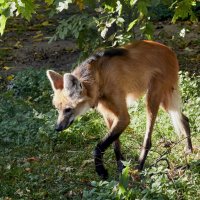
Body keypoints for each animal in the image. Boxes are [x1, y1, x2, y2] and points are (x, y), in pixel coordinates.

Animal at [46, 39, 192, 179]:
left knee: (148, 138)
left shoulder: (123, 117)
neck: (99, 79)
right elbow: (115, 145)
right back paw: (189, 150)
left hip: (152, 98)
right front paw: (121, 167)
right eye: (57, 109)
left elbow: (99, 147)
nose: (57, 128)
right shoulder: (109, 115)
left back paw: (139, 168)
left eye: (68, 109)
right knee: (184, 118)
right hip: (163, 100)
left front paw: (102, 171)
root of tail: (169, 50)